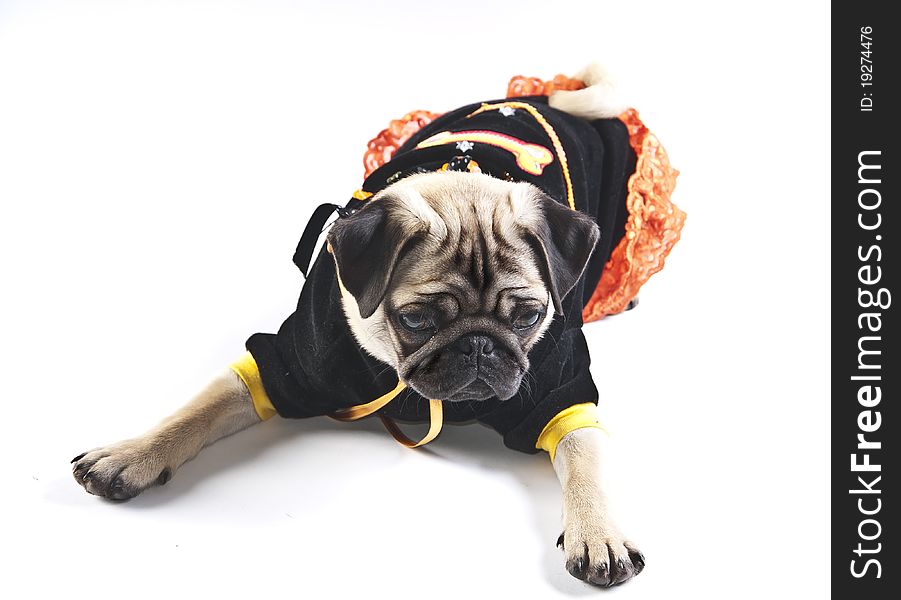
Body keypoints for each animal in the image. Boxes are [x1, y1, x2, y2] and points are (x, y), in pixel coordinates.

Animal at [74, 65, 676, 584]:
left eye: (528, 316)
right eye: (416, 319)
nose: (479, 348)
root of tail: (556, 92)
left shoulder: (563, 396)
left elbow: (586, 464)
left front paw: (598, 533)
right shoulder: (287, 363)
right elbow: (196, 410)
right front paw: (132, 455)